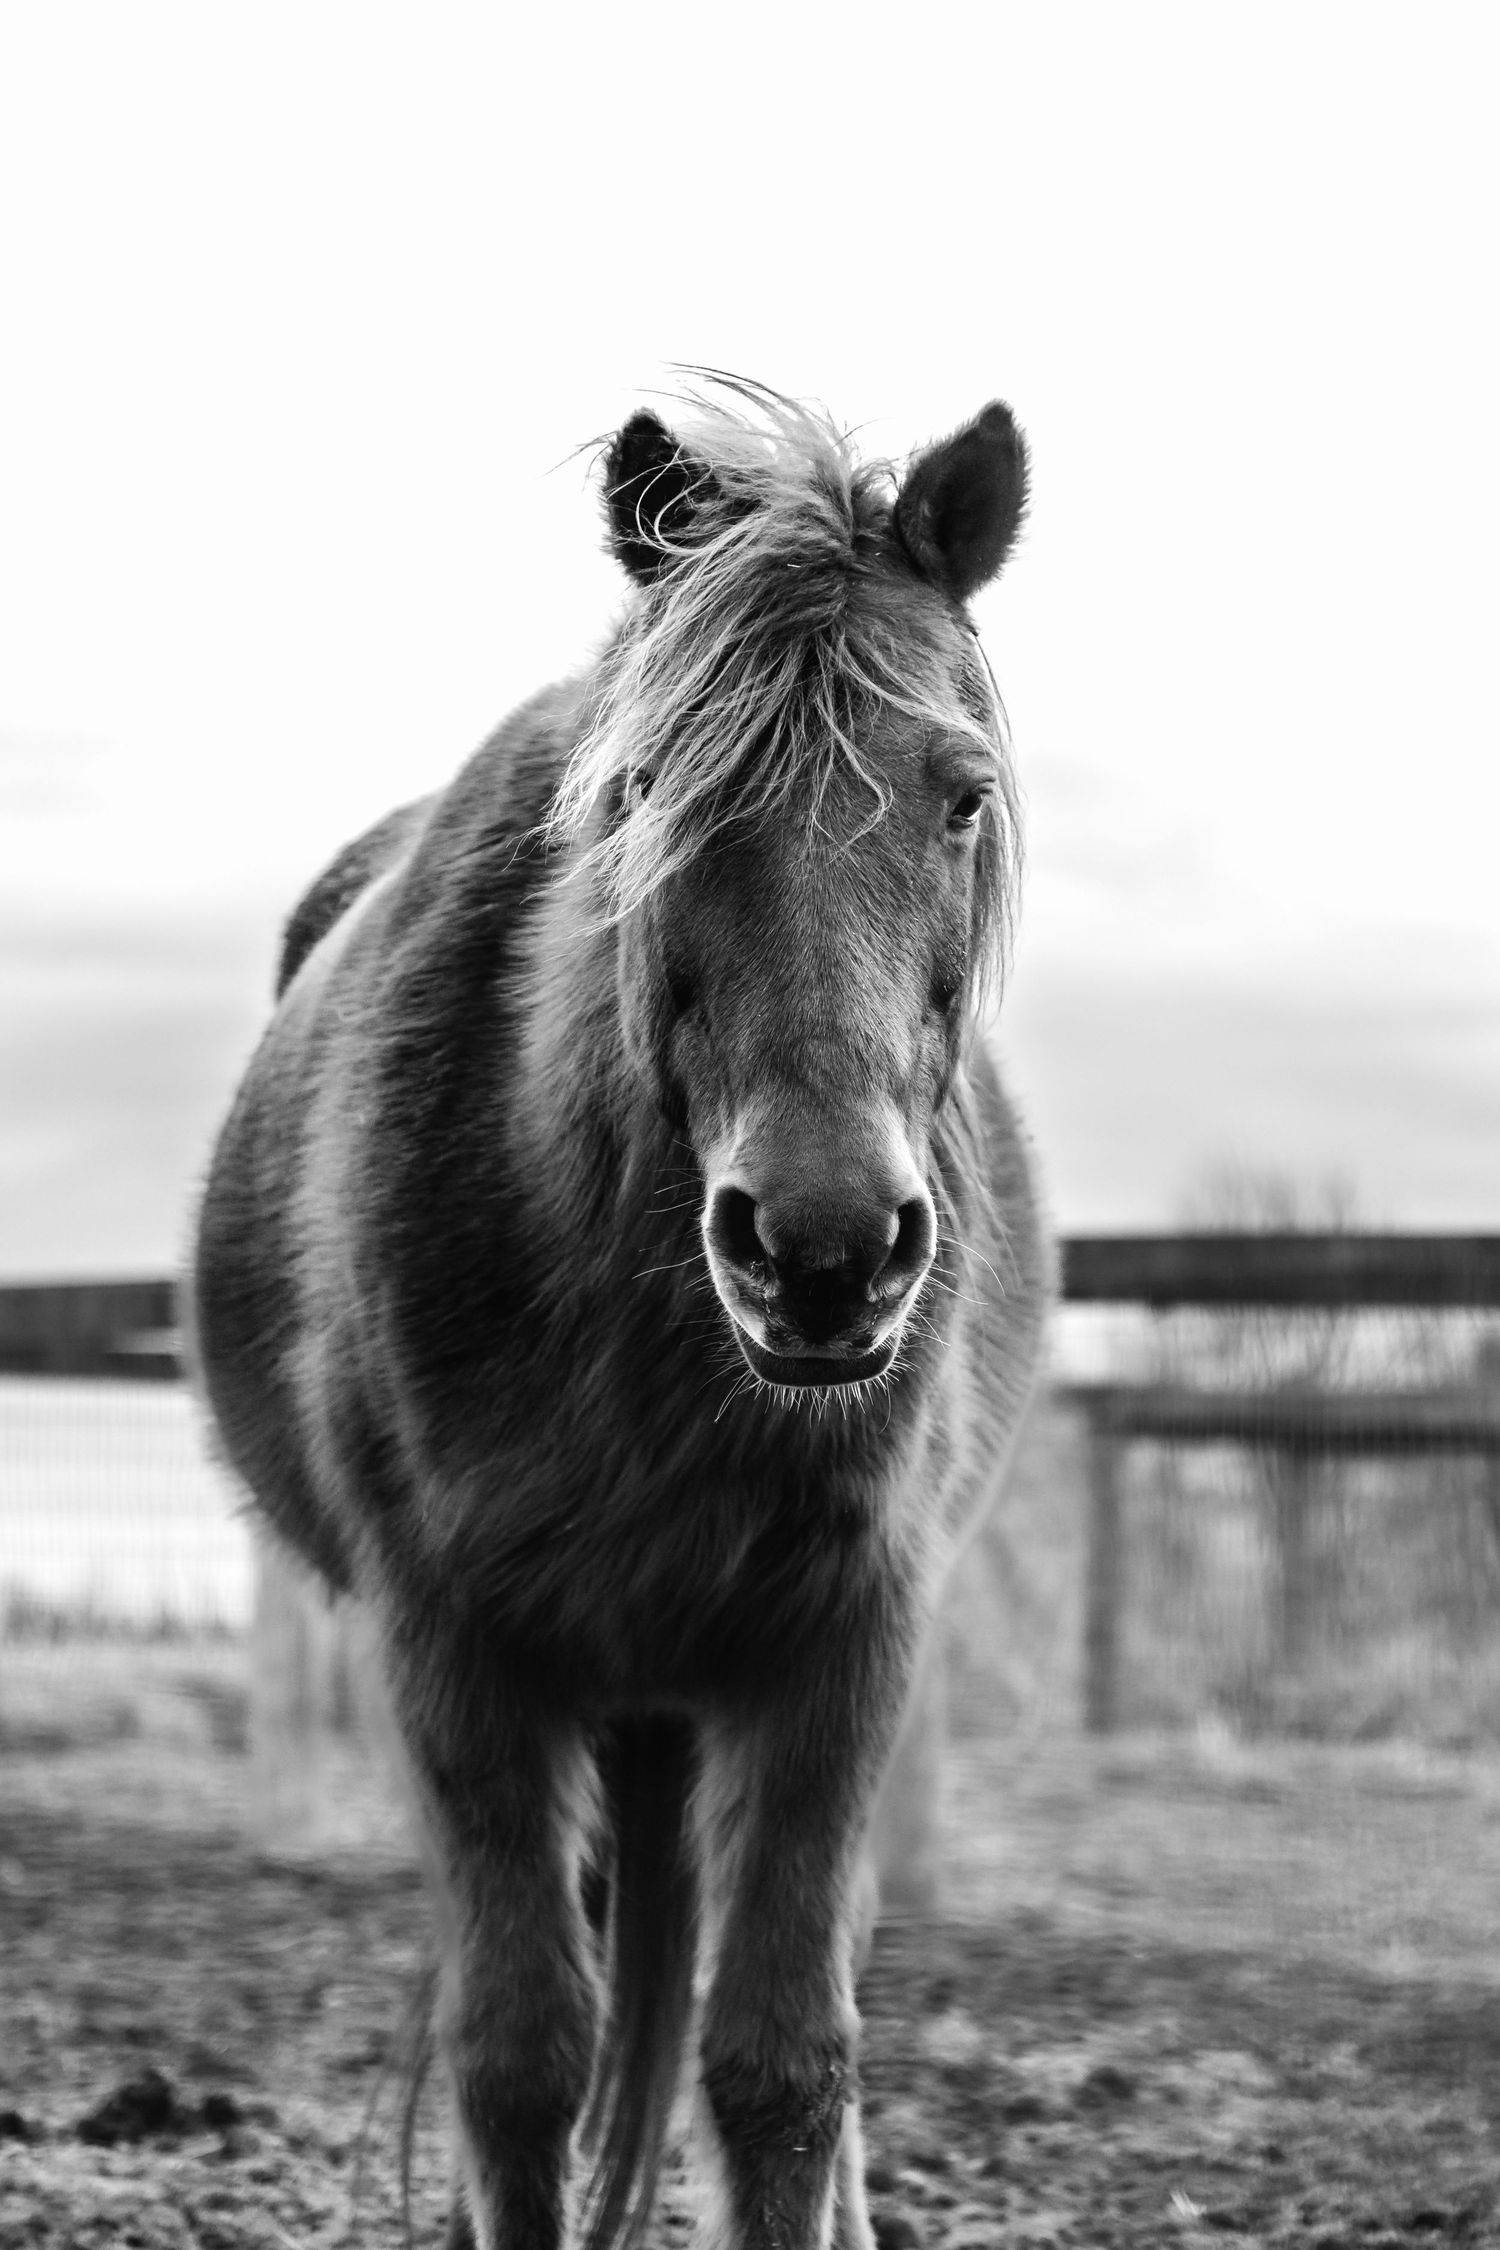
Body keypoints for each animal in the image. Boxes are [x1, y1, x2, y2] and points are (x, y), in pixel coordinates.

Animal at [191, 378, 1052, 2250]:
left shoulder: (844, 1643)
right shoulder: (457, 1647)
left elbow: (787, 2065)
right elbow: (520, 2057)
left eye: (962, 798)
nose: (823, 1249)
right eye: (651, 789)